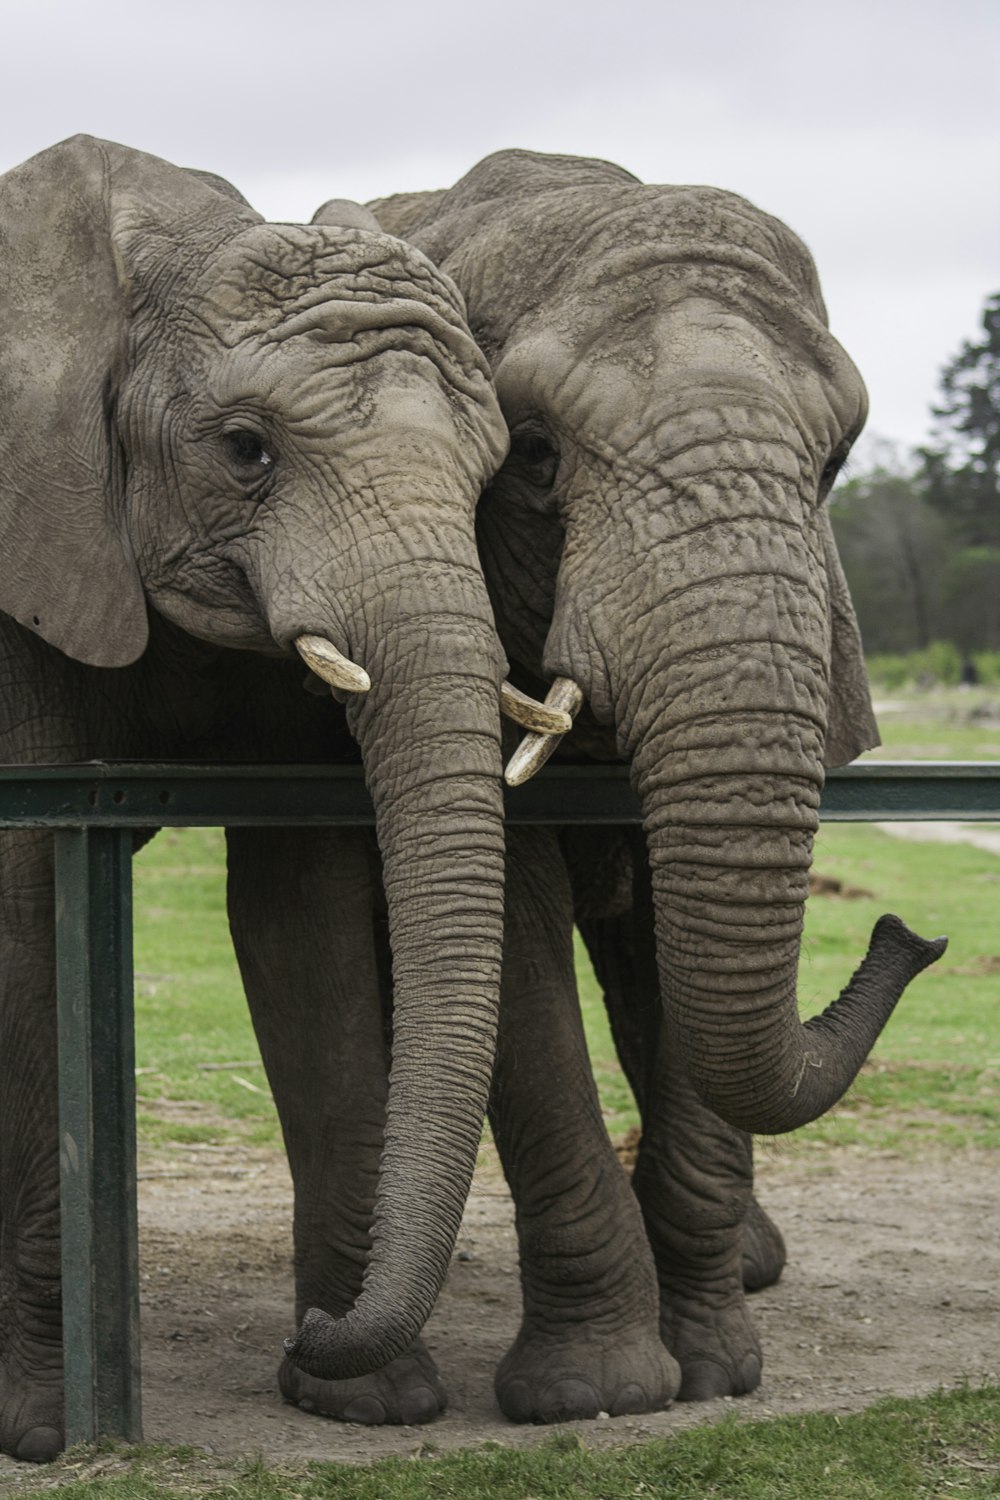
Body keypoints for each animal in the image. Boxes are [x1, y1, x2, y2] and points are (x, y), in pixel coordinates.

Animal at [0, 132, 593, 1464]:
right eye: (245, 448)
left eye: (498, 467)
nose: (320, 1328)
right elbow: (23, 906)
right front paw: (39, 1428)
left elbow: (298, 907)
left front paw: (362, 1396)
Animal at [293, 149, 953, 1416]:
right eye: (534, 456)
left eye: (836, 463)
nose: (913, 934)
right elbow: (518, 948)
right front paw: (595, 1392)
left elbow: (675, 949)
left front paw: (718, 1373)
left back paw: (752, 1268)